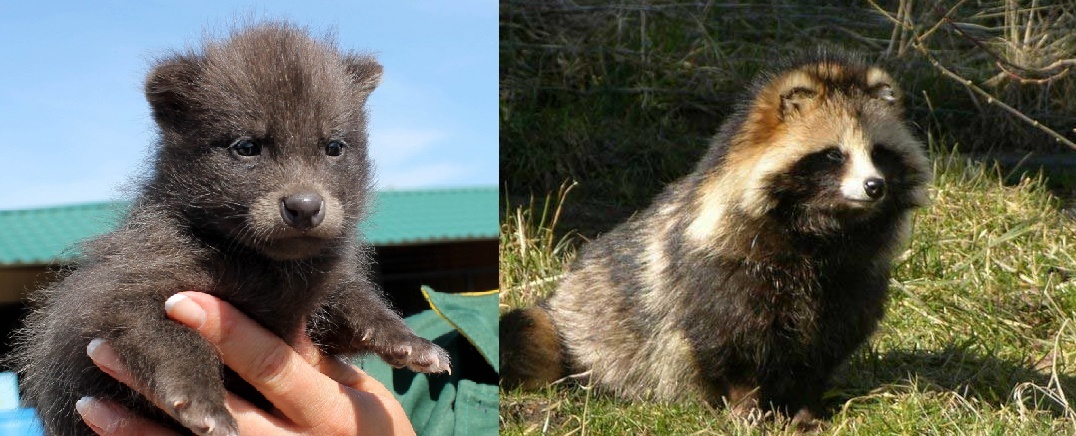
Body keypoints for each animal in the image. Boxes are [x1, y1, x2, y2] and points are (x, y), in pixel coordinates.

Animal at [13, 23, 449, 434]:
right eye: (247, 147)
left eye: (334, 148)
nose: (305, 206)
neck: (264, 267)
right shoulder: (120, 295)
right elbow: (178, 340)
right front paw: (203, 404)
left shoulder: (320, 297)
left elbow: (360, 300)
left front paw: (411, 342)